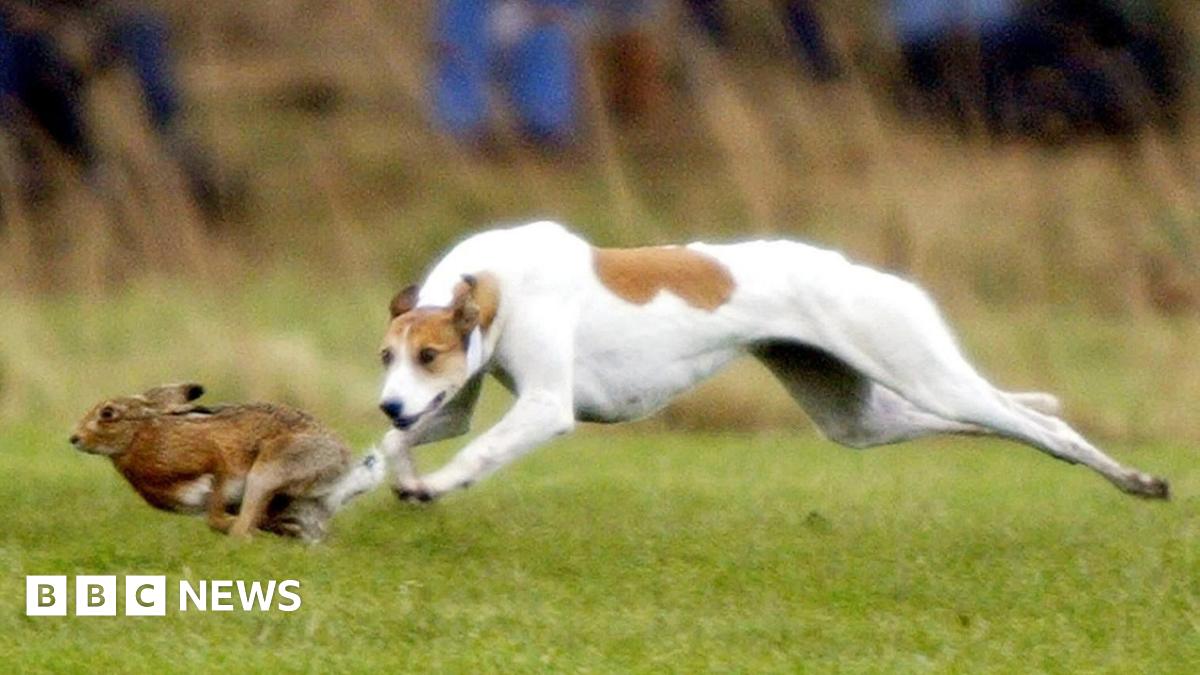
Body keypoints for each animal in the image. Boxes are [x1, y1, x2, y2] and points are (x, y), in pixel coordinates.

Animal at [374, 223, 1161, 502]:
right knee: (996, 417)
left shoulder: (544, 408)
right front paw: (388, 473)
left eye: (430, 353)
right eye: (388, 356)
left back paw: (1135, 478)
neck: (491, 282)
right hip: (862, 417)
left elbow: (477, 452)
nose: (389, 400)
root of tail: (877, 276)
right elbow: (396, 446)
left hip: (922, 371)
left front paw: (432, 485)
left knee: (1044, 432)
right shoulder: (447, 405)